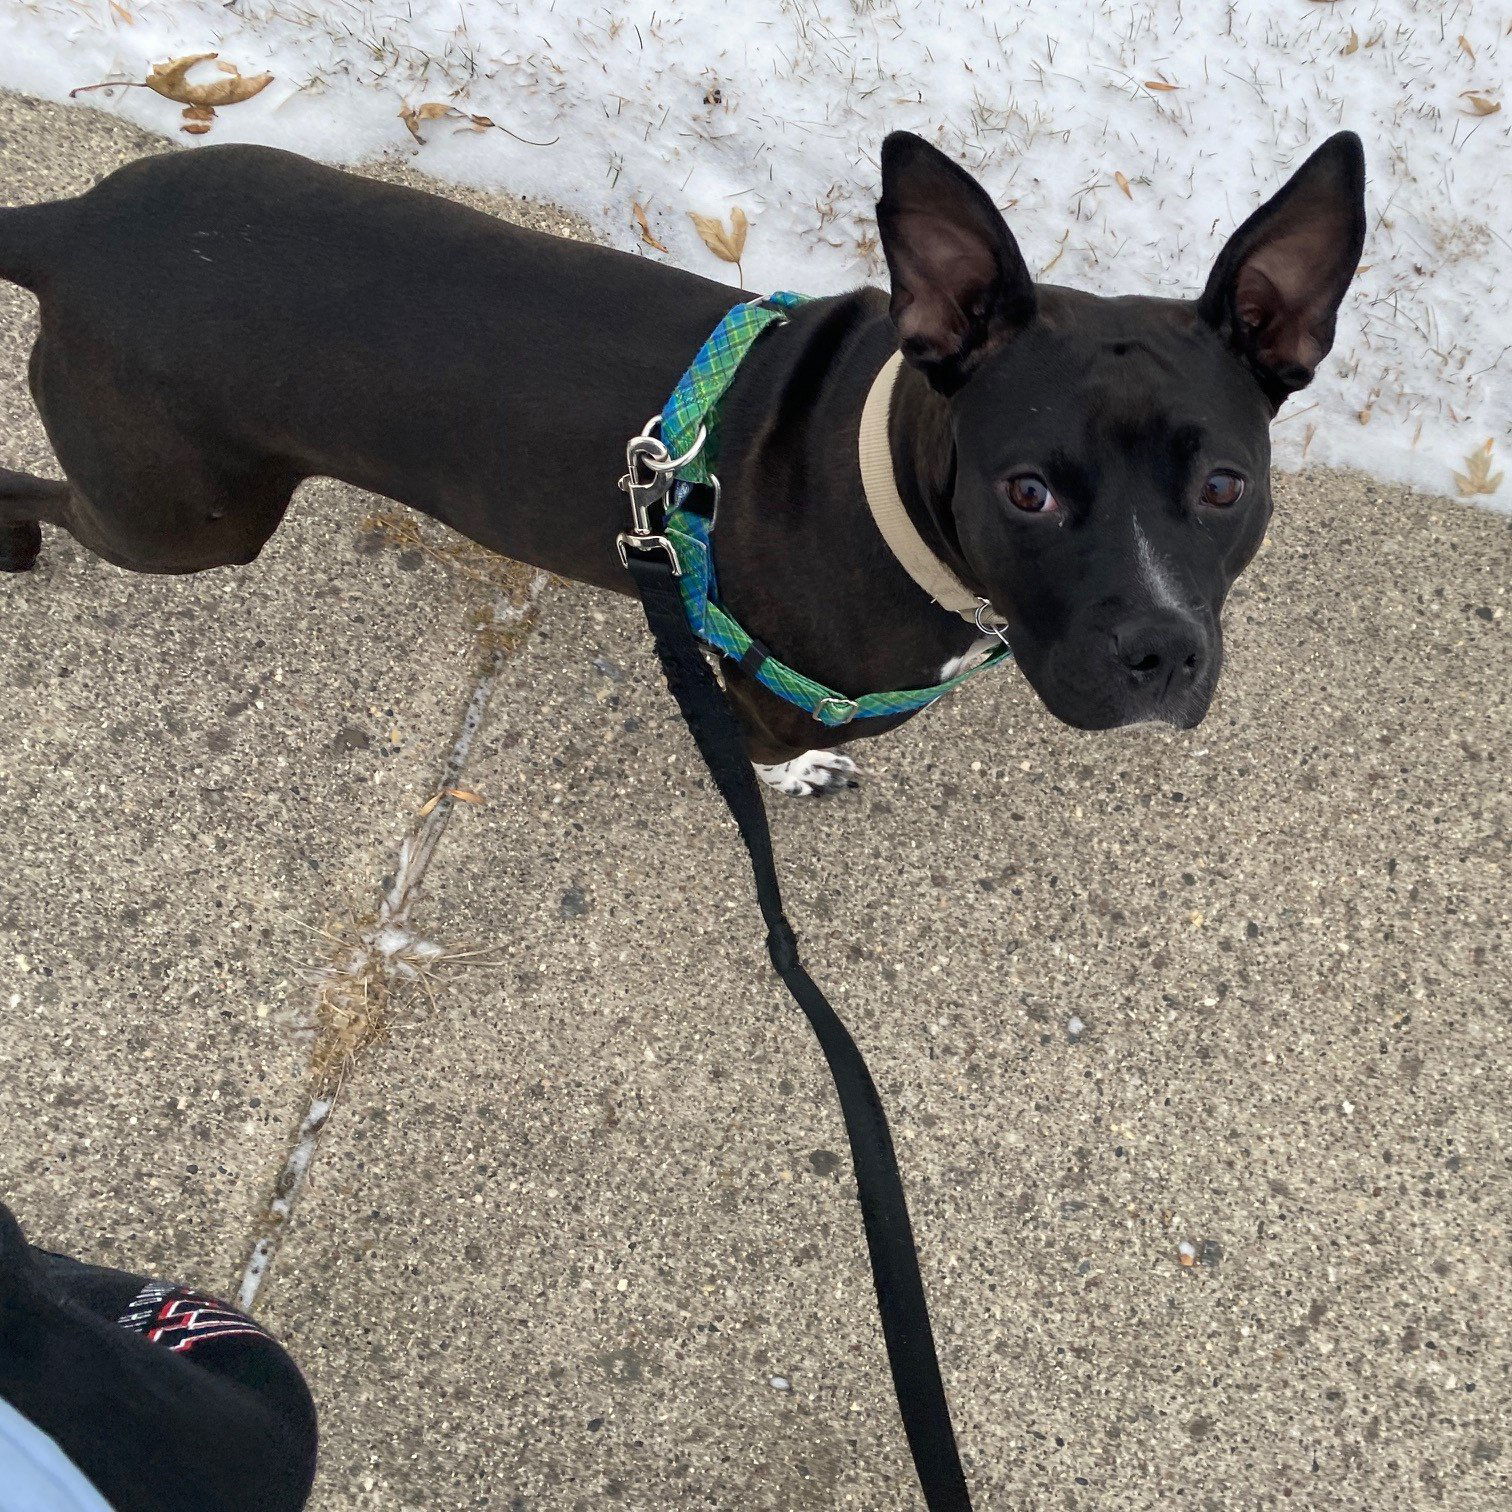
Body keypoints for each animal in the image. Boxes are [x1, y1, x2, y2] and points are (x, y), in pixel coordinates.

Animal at [0, 133, 1366, 792]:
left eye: (1225, 488)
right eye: (1027, 491)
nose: (1160, 654)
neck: (890, 471)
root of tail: (68, 224)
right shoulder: (766, 692)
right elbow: (770, 748)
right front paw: (803, 772)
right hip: (184, 522)